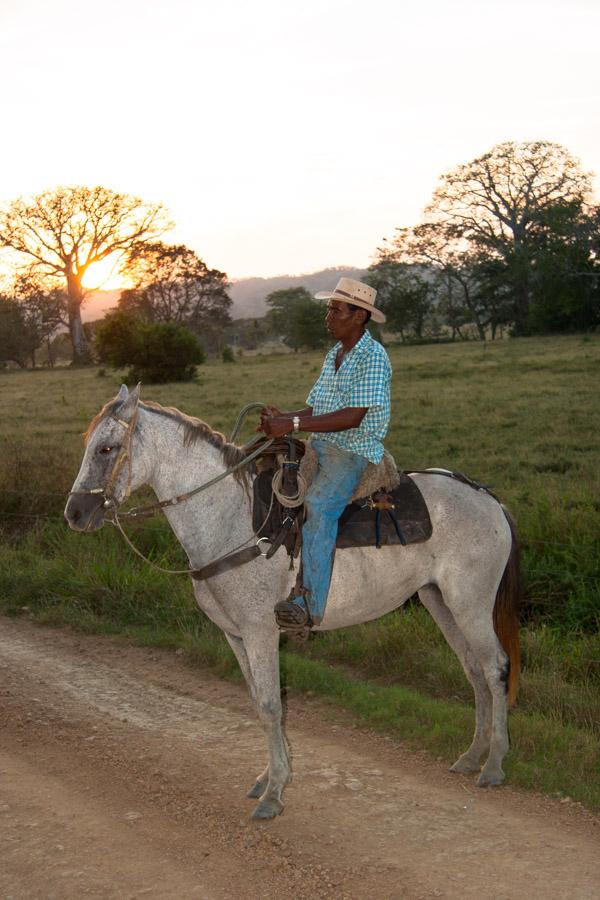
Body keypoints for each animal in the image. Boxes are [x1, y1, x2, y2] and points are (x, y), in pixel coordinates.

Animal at [65, 384, 520, 820]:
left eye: (107, 448)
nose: (74, 513)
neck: (229, 518)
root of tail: (489, 500)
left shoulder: (260, 632)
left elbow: (270, 705)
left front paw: (274, 793)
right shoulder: (234, 635)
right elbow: (260, 701)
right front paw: (268, 777)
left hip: (471, 602)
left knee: (495, 667)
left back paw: (494, 764)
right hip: (439, 601)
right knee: (473, 669)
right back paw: (471, 756)